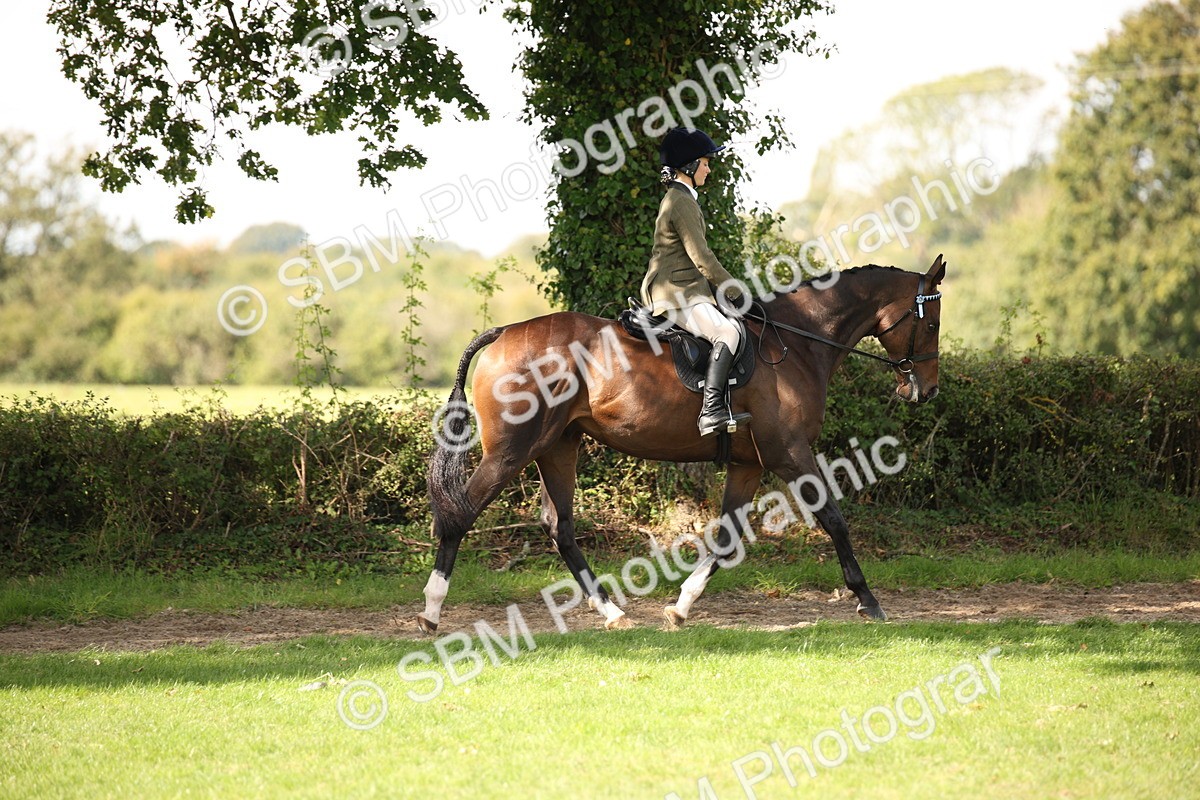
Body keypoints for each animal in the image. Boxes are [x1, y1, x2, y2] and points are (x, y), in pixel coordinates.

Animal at [419, 255, 946, 633]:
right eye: (932, 323)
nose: (926, 389)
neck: (797, 344)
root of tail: (504, 332)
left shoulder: (750, 463)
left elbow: (728, 536)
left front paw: (681, 607)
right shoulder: (789, 453)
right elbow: (833, 519)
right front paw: (868, 600)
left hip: (558, 445)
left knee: (559, 526)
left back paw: (613, 613)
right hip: (512, 451)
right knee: (460, 514)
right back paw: (431, 611)